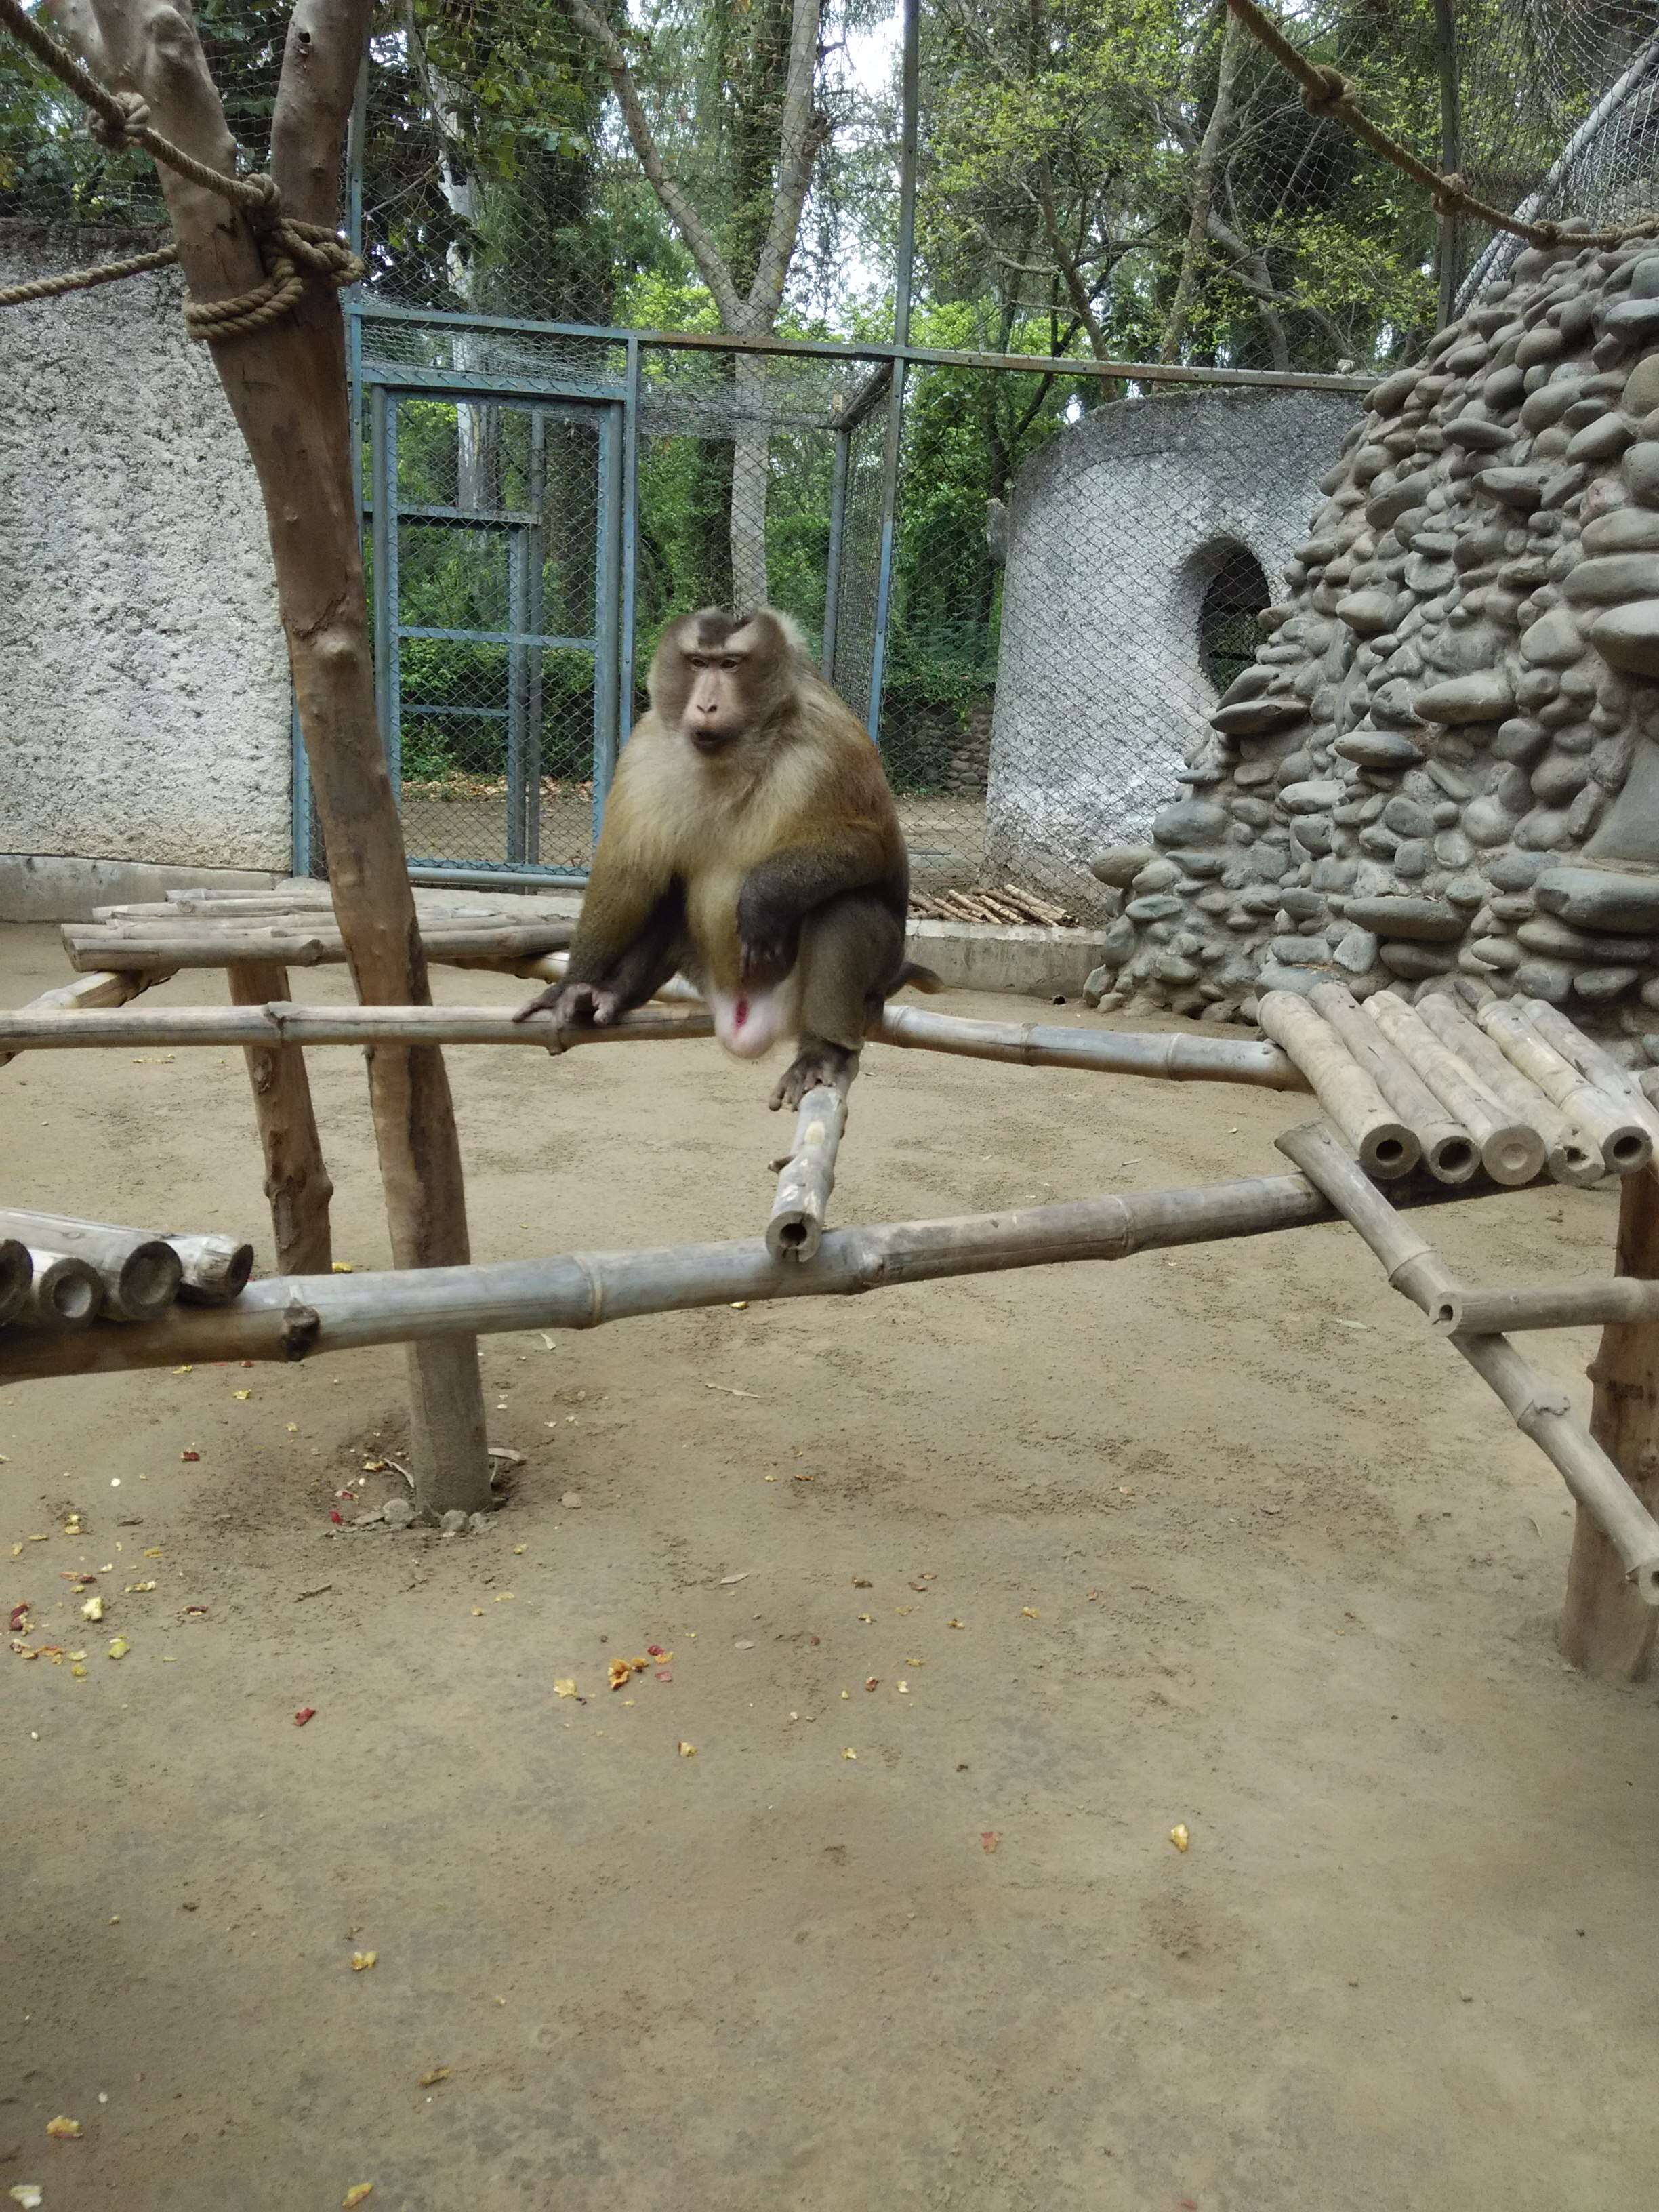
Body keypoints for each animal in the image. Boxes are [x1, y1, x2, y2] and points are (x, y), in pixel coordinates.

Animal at [513, 606, 942, 1106]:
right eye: (699, 663)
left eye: (731, 665)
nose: (706, 706)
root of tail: (746, 1017)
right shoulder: (647, 747)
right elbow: (628, 873)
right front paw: (572, 984)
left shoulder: (831, 743)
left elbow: (878, 852)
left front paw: (765, 897)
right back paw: (617, 991)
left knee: (846, 905)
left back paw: (825, 1050)